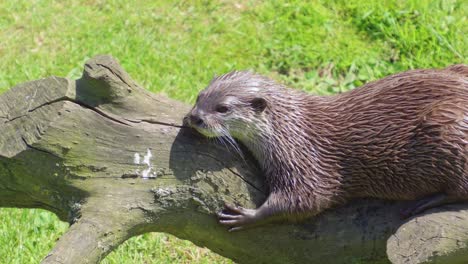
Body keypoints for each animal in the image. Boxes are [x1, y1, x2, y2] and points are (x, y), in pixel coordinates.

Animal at [186, 65, 468, 231]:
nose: (195, 117)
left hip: (449, 131)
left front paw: (246, 216)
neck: (289, 130)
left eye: (223, 108)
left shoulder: (306, 161)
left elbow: (307, 200)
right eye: (199, 96)